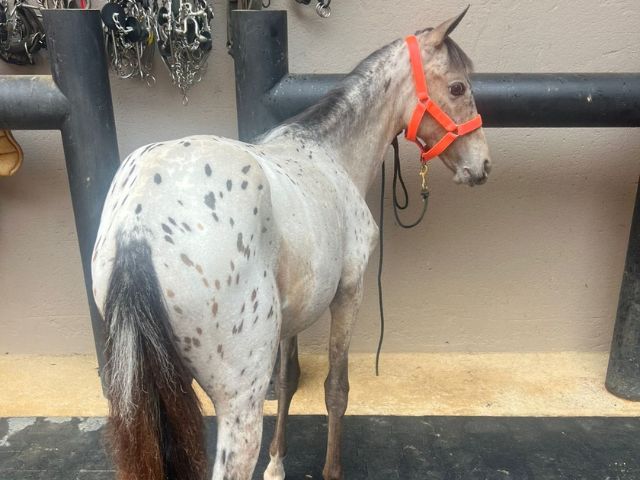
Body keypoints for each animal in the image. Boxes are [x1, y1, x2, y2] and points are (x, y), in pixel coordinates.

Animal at [91, 7, 491, 480]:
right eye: (458, 87)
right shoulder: (349, 294)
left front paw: (276, 464)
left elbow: (287, 381)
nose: (482, 165)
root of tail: (138, 223)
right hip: (240, 404)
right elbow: (336, 388)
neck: (331, 153)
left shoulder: (290, 316)